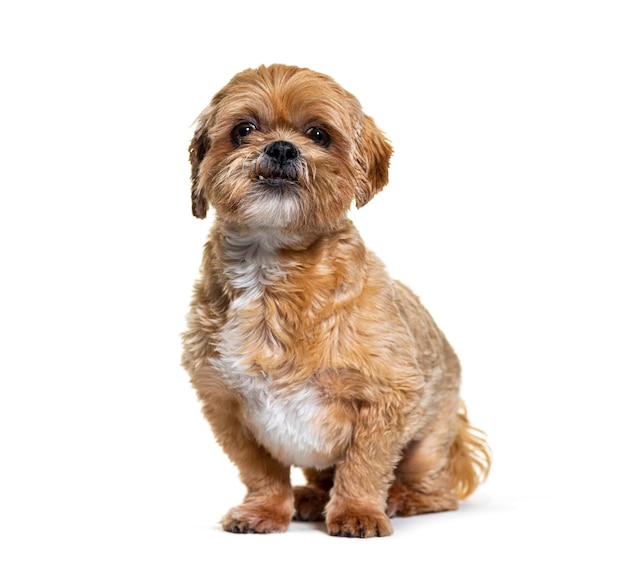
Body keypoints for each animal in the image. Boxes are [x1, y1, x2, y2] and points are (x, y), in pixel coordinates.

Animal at [180, 65, 488, 540]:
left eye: (318, 134)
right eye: (242, 130)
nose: (282, 147)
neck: (271, 278)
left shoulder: (387, 396)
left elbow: (364, 465)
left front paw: (358, 512)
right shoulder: (225, 406)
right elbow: (261, 471)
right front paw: (265, 510)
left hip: (429, 446)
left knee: (437, 492)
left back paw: (400, 499)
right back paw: (309, 497)